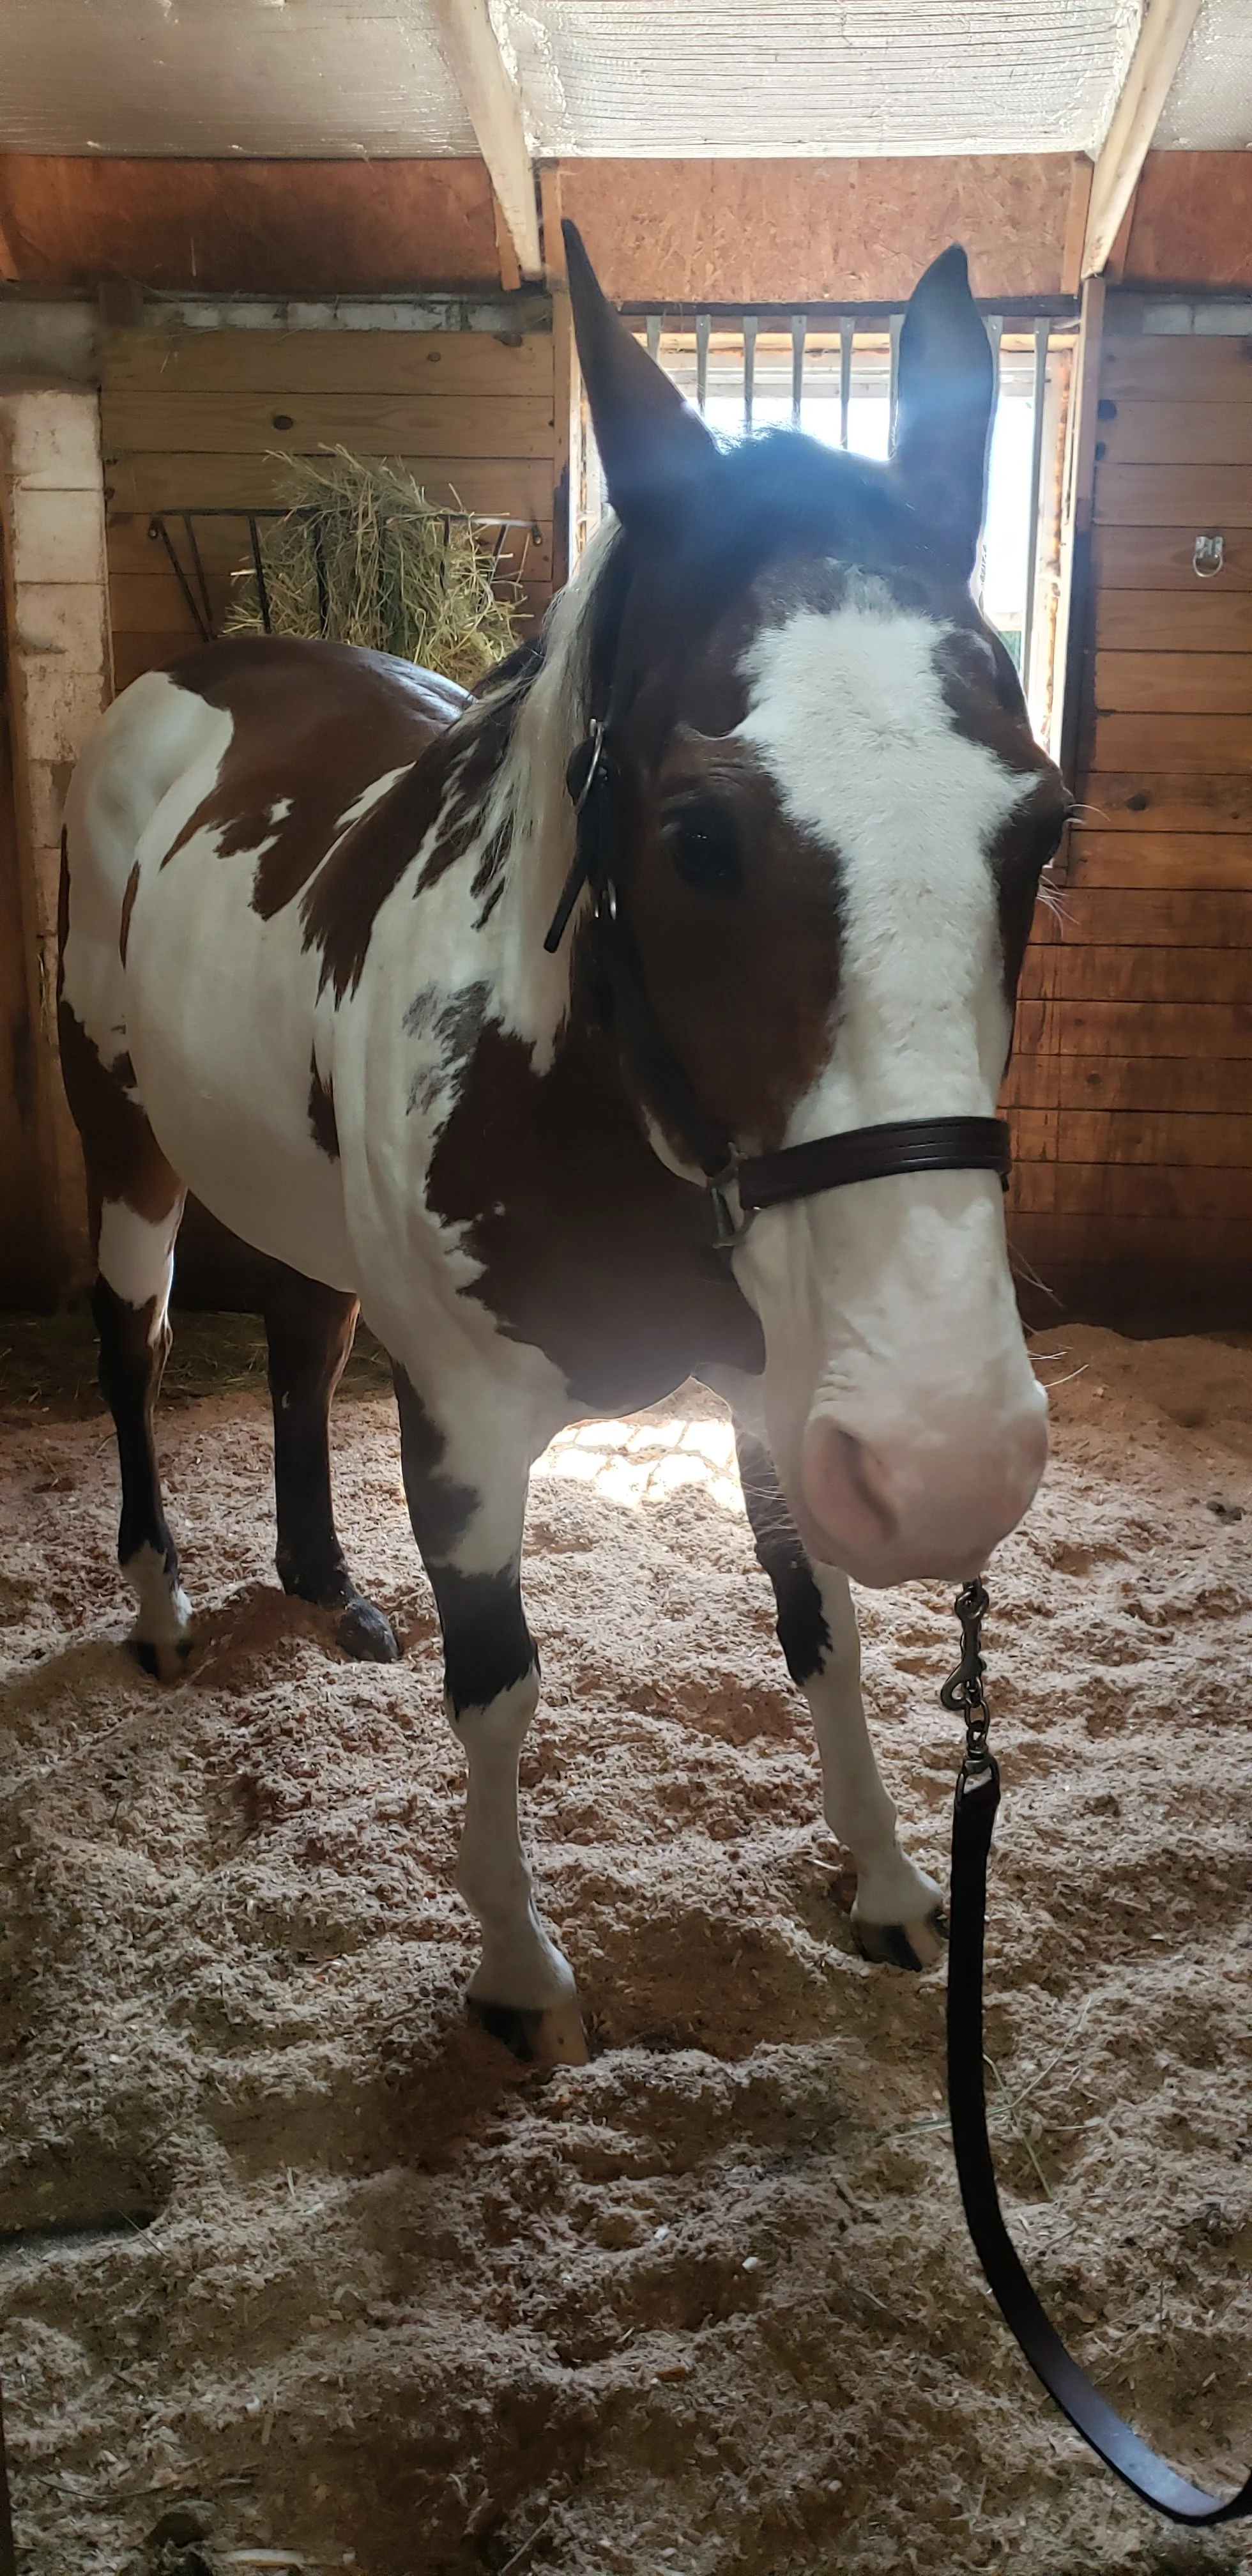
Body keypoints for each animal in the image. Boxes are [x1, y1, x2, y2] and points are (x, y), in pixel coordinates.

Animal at [58, 227, 1068, 2067]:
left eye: (1037, 830)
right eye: (698, 840)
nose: (951, 1457)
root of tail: (194, 680)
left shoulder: (773, 1388)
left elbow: (821, 1628)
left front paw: (890, 1880)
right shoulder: (466, 1426)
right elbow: (503, 1683)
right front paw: (521, 1973)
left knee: (301, 1341)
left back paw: (324, 1587)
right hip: (121, 1141)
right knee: (135, 1343)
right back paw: (160, 1606)